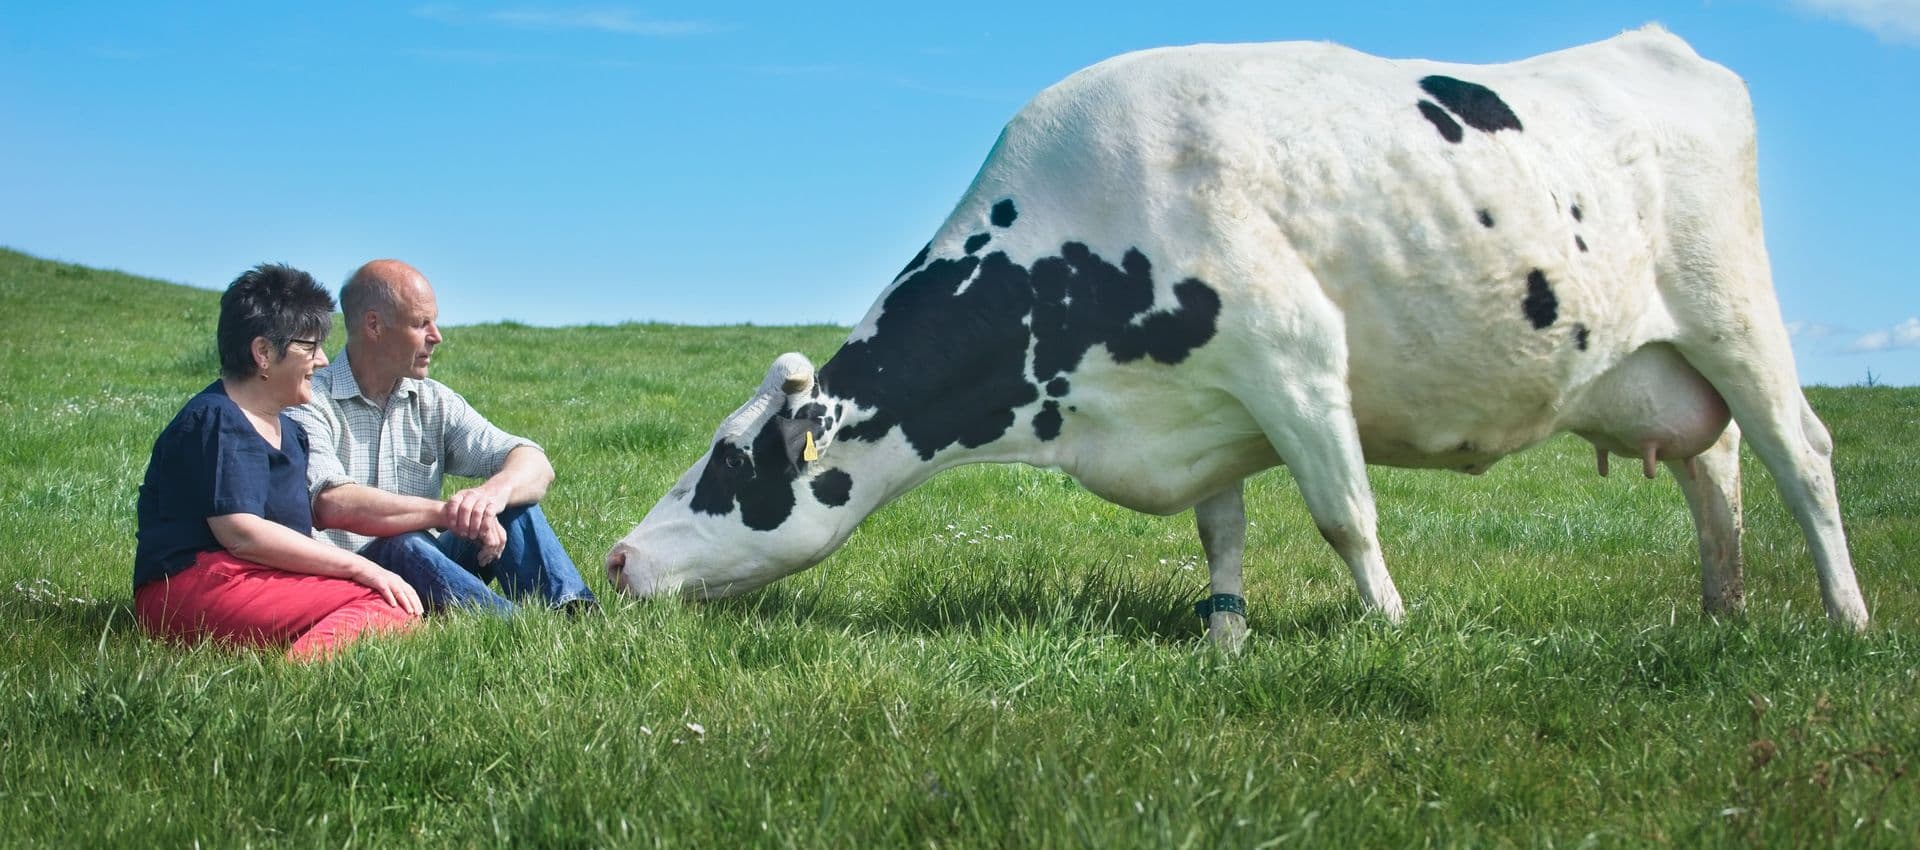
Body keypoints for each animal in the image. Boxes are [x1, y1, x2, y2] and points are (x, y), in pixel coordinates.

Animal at [606, 25, 1869, 646]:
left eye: (733, 461)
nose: (615, 557)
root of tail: (1655, 42)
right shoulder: (1206, 407)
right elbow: (1223, 533)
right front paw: (1225, 637)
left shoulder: (1294, 356)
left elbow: (1345, 513)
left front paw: (1392, 629)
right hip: (1650, 364)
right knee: (1715, 467)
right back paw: (1721, 611)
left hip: (1736, 314)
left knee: (1800, 455)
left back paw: (1845, 620)